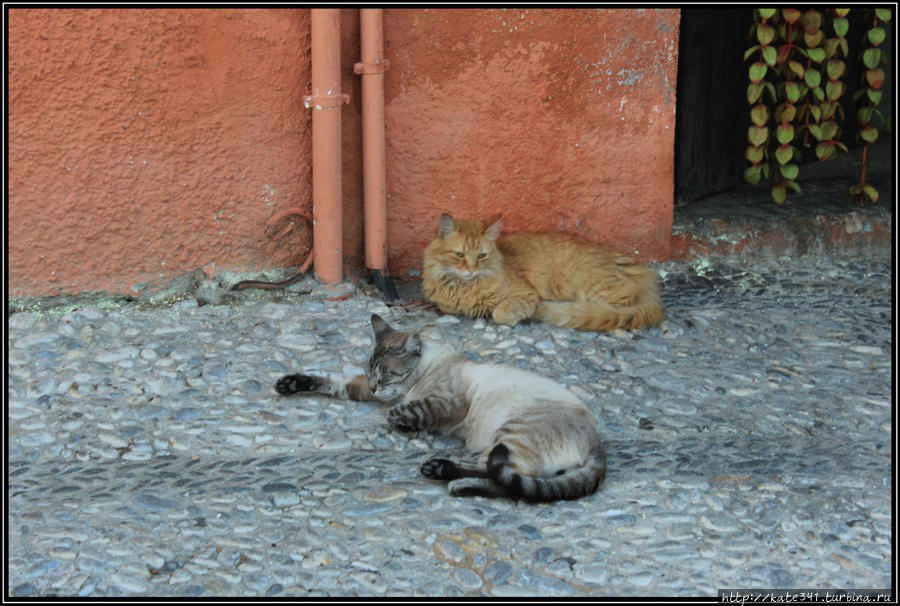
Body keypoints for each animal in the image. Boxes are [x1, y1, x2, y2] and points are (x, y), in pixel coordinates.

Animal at [274, 314, 604, 504]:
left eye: (386, 375)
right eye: (370, 372)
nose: (375, 388)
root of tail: (597, 442)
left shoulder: (445, 404)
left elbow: (402, 412)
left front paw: (401, 423)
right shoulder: (363, 389)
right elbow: (329, 380)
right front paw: (289, 383)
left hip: (510, 434)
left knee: (502, 474)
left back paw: (442, 471)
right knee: (511, 481)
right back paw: (446, 475)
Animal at [420, 215, 660, 332]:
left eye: (481, 256)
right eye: (459, 255)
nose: (471, 270)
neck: (462, 287)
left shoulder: (525, 294)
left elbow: (500, 313)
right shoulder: (446, 306)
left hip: (585, 285)